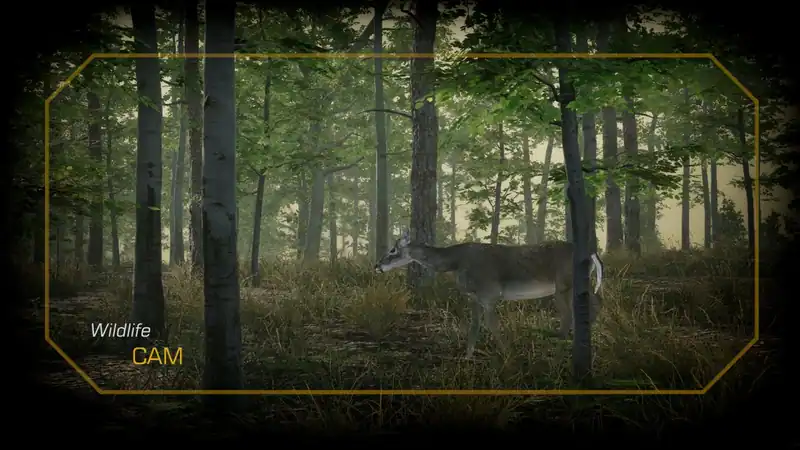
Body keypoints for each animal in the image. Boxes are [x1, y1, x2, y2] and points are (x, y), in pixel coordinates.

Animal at [374, 230, 604, 358]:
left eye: (393, 250)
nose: (377, 265)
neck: (454, 263)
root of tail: (592, 253)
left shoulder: (490, 293)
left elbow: (492, 325)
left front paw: (508, 354)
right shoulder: (474, 297)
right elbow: (474, 326)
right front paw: (467, 357)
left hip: (564, 284)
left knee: (575, 310)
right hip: (571, 285)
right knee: (593, 301)